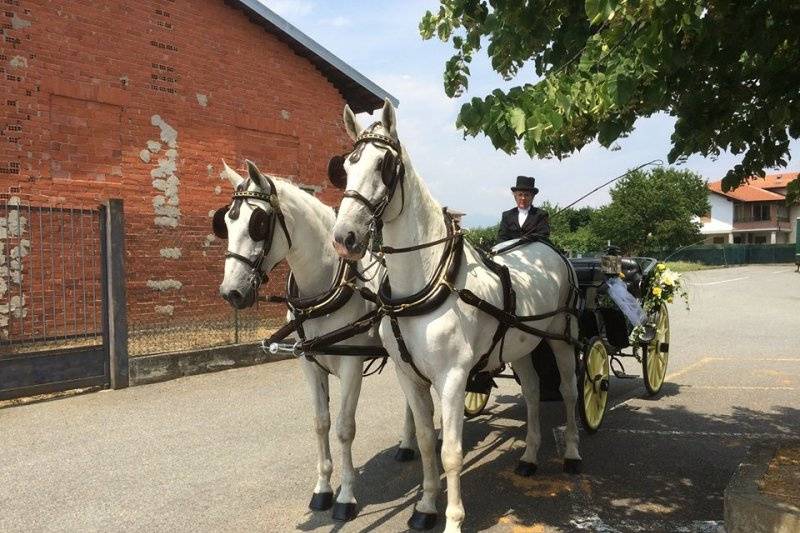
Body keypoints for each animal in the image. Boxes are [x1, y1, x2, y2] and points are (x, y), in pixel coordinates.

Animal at [216, 160, 422, 520]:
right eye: (227, 221)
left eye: (258, 223)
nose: (231, 292)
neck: (321, 289)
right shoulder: (309, 363)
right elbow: (321, 423)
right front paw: (323, 489)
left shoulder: (352, 366)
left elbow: (344, 428)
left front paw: (346, 497)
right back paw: (408, 443)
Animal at [330, 101, 580, 532]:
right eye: (346, 165)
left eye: (384, 165)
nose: (344, 238)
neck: (426, 279)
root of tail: (547, 248)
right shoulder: (409, 375)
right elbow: (426, 442)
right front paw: (426, 507)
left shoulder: (452, 377)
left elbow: (451, 452)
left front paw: (452, 520)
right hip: (520, 345)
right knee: (533, 390)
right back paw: (529, 458)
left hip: (560, 337)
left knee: (568, 390)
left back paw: (573, 454)